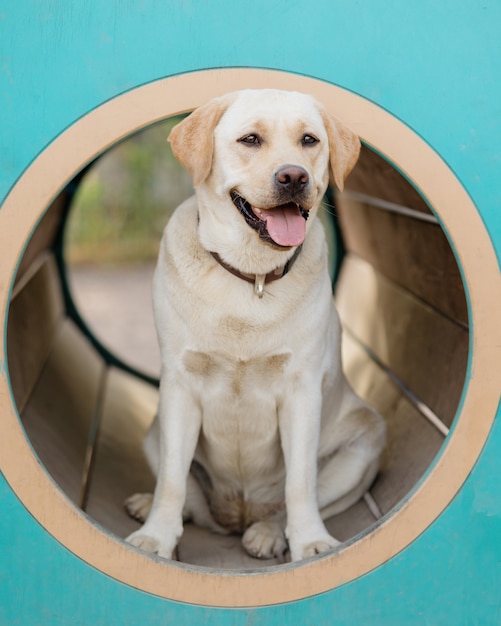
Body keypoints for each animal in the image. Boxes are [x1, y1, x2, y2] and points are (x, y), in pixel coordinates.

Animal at [125, 88, 386, 560]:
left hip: (366, 440)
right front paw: (156, 537)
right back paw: (144, 504)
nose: (294, 177)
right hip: (154, 430)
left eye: (309, 140)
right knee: (189, 497)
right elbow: (171, 481)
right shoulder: (180, 386)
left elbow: (301, 484)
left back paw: (267, 533)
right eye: (250, 140)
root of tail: (237, 515)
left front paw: (311, 542)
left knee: (296, 500)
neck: (253, 275)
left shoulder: (301, 391)